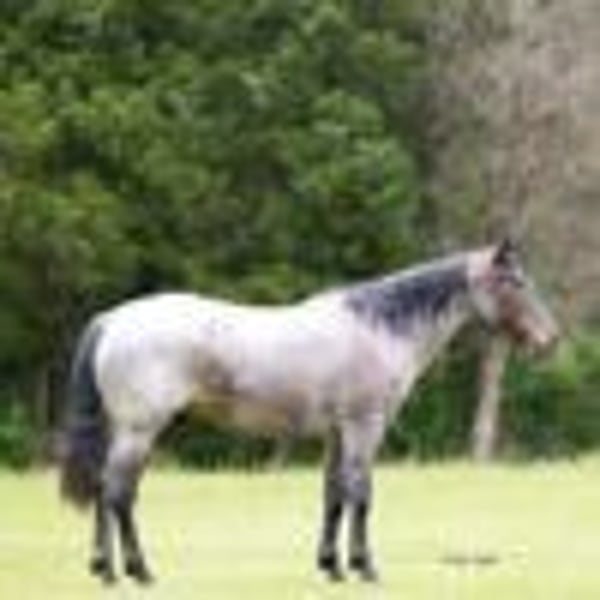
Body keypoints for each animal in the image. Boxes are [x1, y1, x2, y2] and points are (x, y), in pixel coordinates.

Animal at [59, 240, 558, 585]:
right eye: (514, 282)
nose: (549, 340)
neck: (379, 328)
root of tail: (113, 320)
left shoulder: (337, 433)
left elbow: (334, 495)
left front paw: (332, 567)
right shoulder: (364, 428)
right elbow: (361, 494)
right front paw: (364, 567)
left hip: (123, 431)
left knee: (103, 491)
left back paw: (104, 569)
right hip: (140, 430)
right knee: (119, 493)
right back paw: (138, 572)